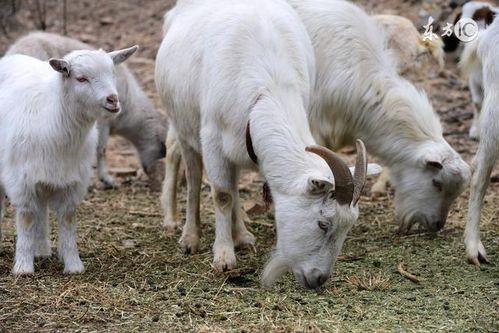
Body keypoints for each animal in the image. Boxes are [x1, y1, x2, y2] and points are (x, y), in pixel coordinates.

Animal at [0, 44, 137, 272]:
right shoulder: (22, 180)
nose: (113, 100)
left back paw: (42, 250)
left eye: (113, 73)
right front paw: (23, 268)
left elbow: (67, 219)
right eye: (81, 78)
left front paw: (74, 265)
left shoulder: (73, 180)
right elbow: (27, 217)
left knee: (42, 209)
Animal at [6, 33, 168, 189]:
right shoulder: (103, 121)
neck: (130, 113)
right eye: (162, 151)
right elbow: (101, 149)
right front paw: (107, 180)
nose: (113, 100)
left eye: (113, 73)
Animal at [158, 0, 380, 288]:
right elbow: (222, 195)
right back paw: (190, 237)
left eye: (348, 228)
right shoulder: (213, 140)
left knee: (234, 183)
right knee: (194, 176)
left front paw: (236, 240)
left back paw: (242, 236)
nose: (318, 279)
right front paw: (223, 258)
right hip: (184, 124)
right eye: (323, 223)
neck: (268, 90)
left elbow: (232, 190)